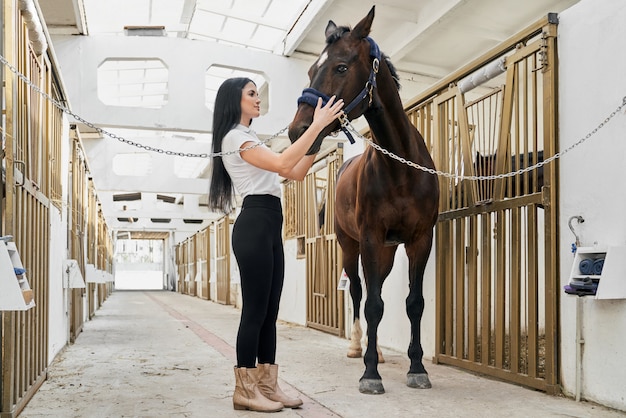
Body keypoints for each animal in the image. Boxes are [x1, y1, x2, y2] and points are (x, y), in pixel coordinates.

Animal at [288, 5, 438, 396]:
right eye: (310, 70)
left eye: (341, 67)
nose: (298, 131)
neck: (401, 167)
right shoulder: (369, 238)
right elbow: (370, 303)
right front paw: (370, 373)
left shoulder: (420, 240)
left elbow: (413, 303)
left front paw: (417, 368)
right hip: (349, 244)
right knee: (358, 291)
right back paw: (359, 346)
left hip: (385, 250)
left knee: (376, 288)